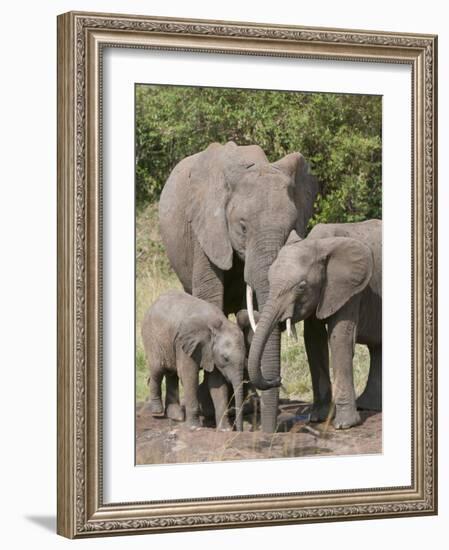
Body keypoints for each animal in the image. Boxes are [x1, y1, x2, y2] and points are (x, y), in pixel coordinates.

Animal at [140, 292, 245, 434]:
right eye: (225, 358)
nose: (239, 430)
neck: (218, 324)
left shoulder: (209, 351)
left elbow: (217, 383)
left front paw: (225, 430)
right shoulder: (185, 342)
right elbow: (190, 376)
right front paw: (194, 427)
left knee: (172, 373)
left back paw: (176, 416)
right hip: (152, 337)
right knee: (158, 369)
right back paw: (157, 412)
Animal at [158, 140, 318, 434]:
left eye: (293, 228)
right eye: (243, 227)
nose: (276, 380)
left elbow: (250, 318)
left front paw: (251, 406)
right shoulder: (205, 229)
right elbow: (210, 298)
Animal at [248, 220, 382, 432]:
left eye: (301, 287)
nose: (277, 380)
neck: (319, 243)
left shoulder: (351, 288)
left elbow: (339, 338)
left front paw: (344, 425)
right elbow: (313, 340)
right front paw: (317, 418)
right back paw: (369, 406)